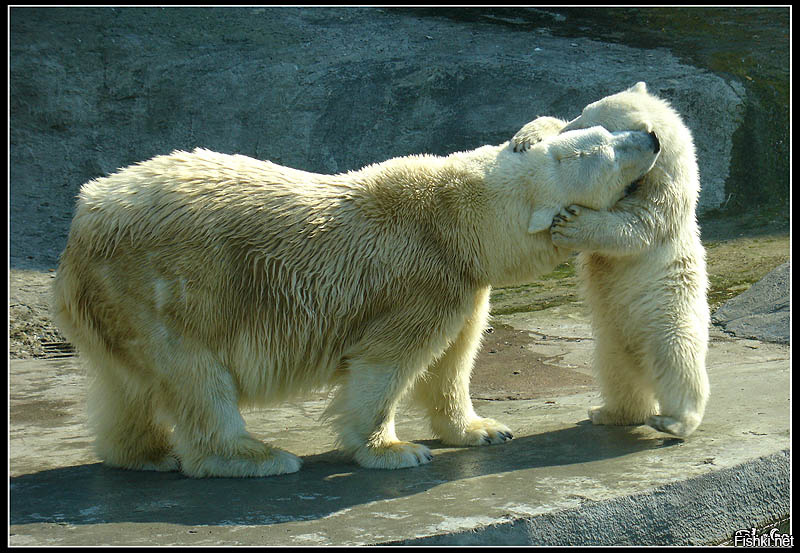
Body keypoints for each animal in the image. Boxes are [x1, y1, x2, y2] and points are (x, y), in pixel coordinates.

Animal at [53, 123, 660, 476]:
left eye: (603, 126)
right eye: (602, 151)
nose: (651, 135)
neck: (454, 221)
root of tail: (83, 219)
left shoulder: (463, 288)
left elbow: (454, 361)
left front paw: (483, 429)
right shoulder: (419, 284)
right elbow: (387, 365)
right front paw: (394, 450)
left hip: (114, 302)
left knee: (127, 383)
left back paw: (148, 454)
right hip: (169, 289)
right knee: (196, 376)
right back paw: (258, 456)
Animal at [512, 83, 708, 436]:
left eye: (601, 123)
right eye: (584, 112)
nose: (568, 129)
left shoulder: (663, 199)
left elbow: (633, 228)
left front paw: (571, 224)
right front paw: (530, 136)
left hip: (667, 312)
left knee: (678, 357)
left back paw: (674, 421)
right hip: (611, 336)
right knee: (616, 371)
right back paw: (609, 412)